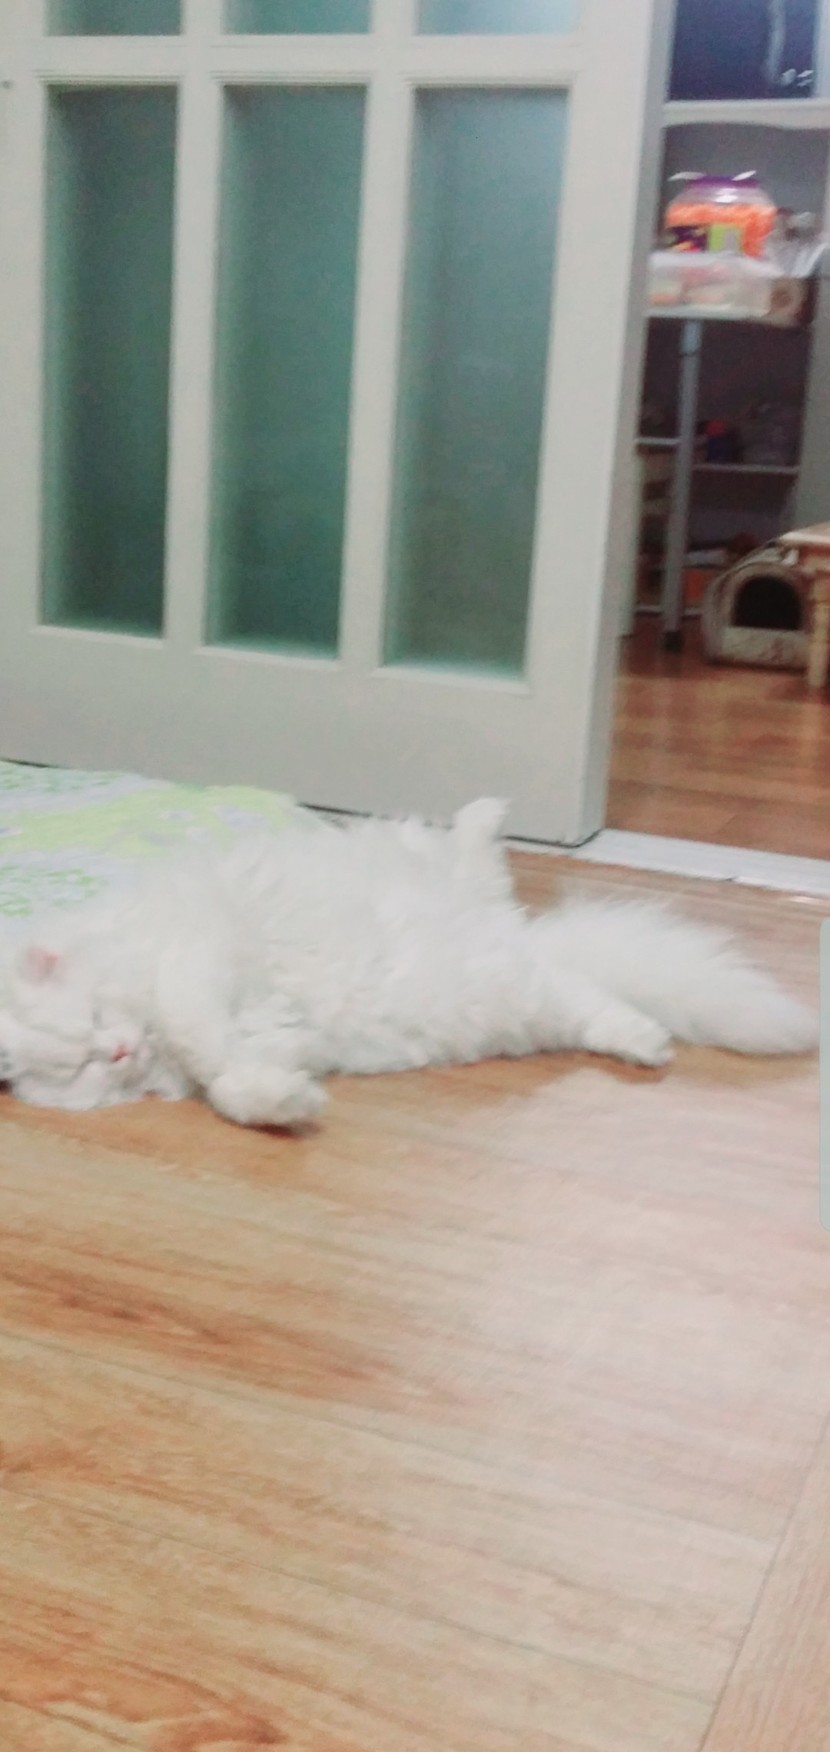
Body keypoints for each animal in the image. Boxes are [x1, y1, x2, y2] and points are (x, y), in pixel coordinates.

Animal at [0, 799, 816, 1128]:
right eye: (85, 1069)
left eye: (96, 1025)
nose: (118, 1050)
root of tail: (521, 938)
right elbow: (233, 1086)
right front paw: (291, 1105)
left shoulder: (189, 961)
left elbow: (201, 1037)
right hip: (514, 995)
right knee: (588, 998)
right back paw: (646, 1043)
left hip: (424, 866)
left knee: (474, 853)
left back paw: (489, 810)